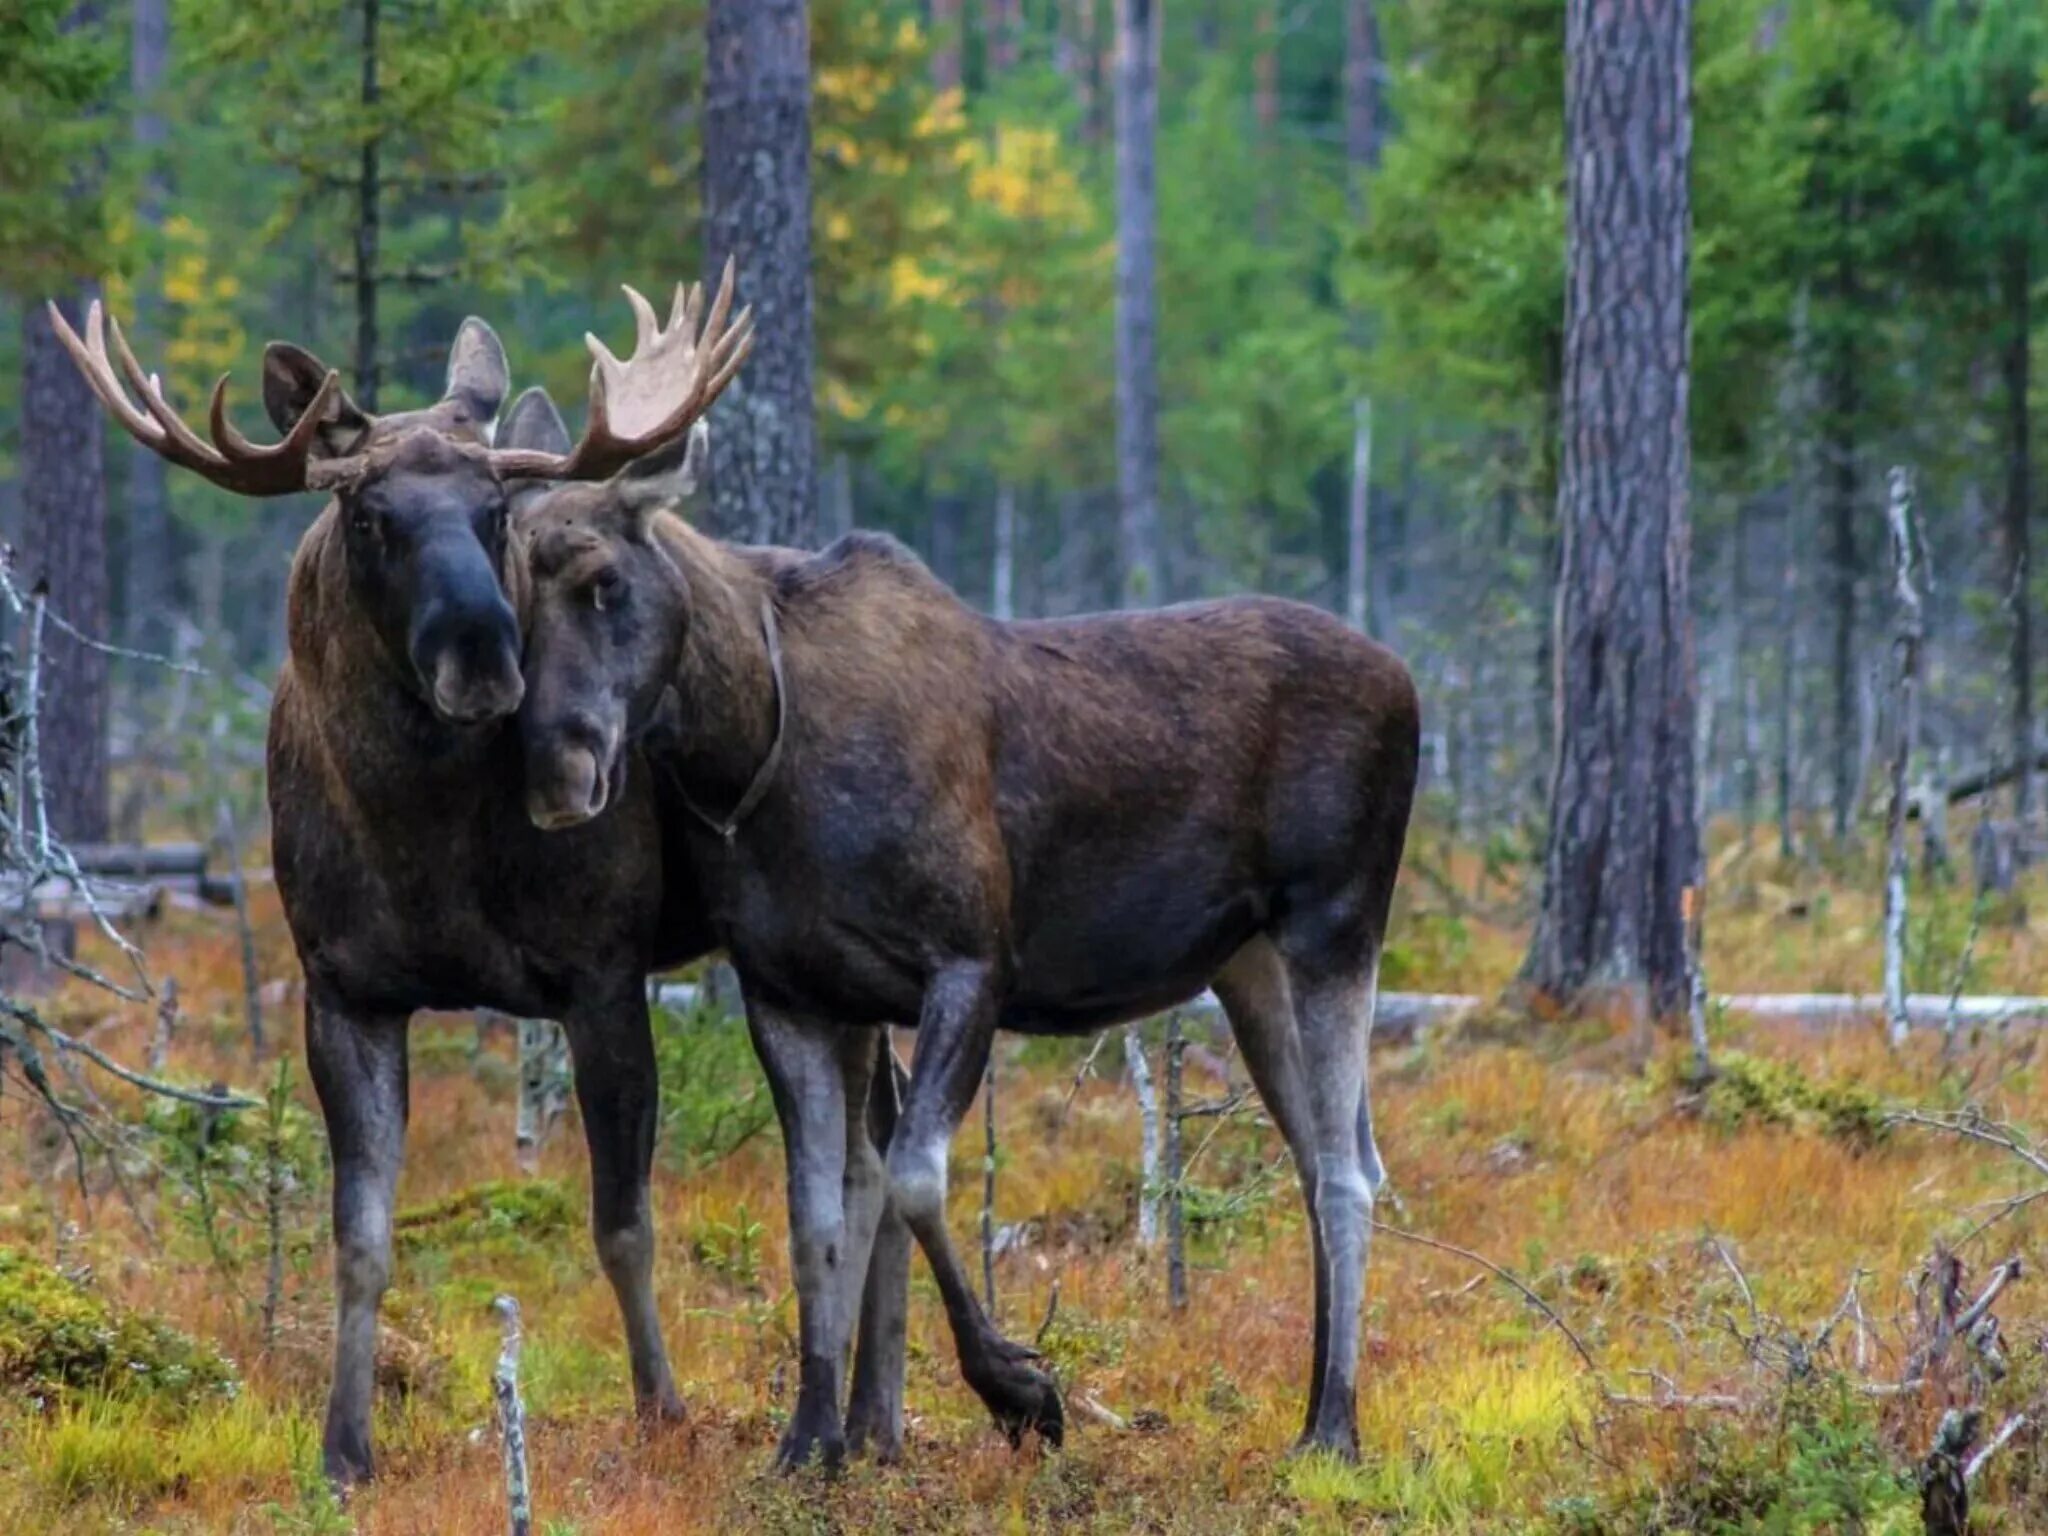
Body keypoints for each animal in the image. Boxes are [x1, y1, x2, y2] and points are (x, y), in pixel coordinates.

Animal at [512, 456, 1417, 1466]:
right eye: (510, 596)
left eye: (605, 581)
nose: (555, 765)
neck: (755, 750)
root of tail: (1410, 683)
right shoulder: (788, 993)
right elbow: (813, 1217)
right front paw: (808, 1439)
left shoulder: (971, 963)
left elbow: (912, 1175)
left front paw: (1020, 1389)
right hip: (1248, 964)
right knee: (1327, 1158)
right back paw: (1315, 1414)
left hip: (1336, 922)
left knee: (1346, 1171)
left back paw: (1334, 1427)